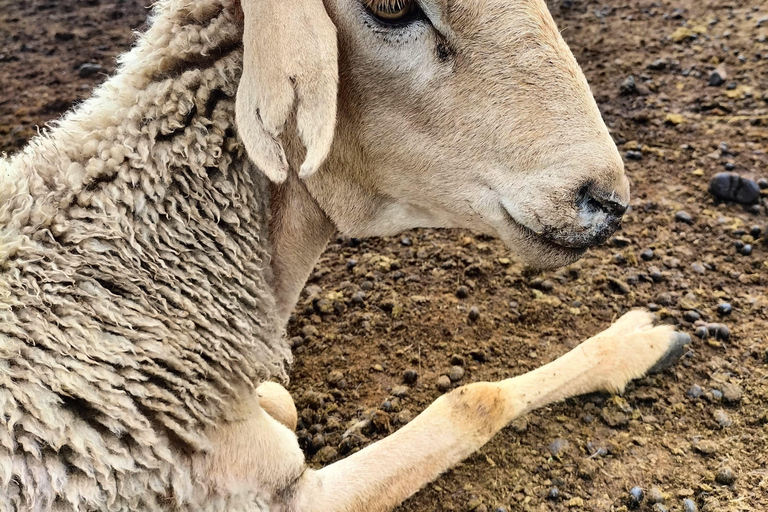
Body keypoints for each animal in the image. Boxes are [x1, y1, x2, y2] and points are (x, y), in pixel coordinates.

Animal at [0, 1, 692, 512]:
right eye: (389, 4)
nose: (605, 200)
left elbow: (282, 403)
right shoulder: (277, 493)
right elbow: (473, 401)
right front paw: (639, 341)